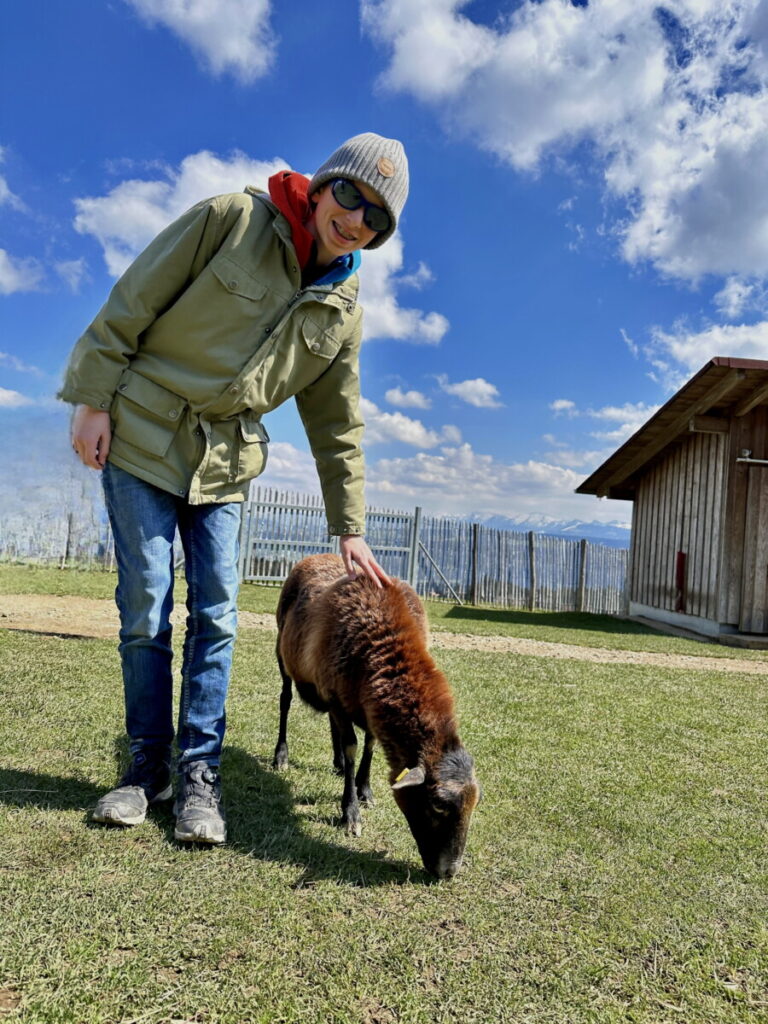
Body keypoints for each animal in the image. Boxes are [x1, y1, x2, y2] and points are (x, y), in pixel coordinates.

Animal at [274, 557, 481, 876]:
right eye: (437, 804)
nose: (449, 873)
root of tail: (316, 557)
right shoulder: (337, 697)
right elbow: (352, 746)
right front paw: (350, 813)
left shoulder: (365, 704)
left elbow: (369, 746)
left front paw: (365, 790)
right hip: (283, 654)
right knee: (285, 701)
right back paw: (281, 756)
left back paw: (335, 764)